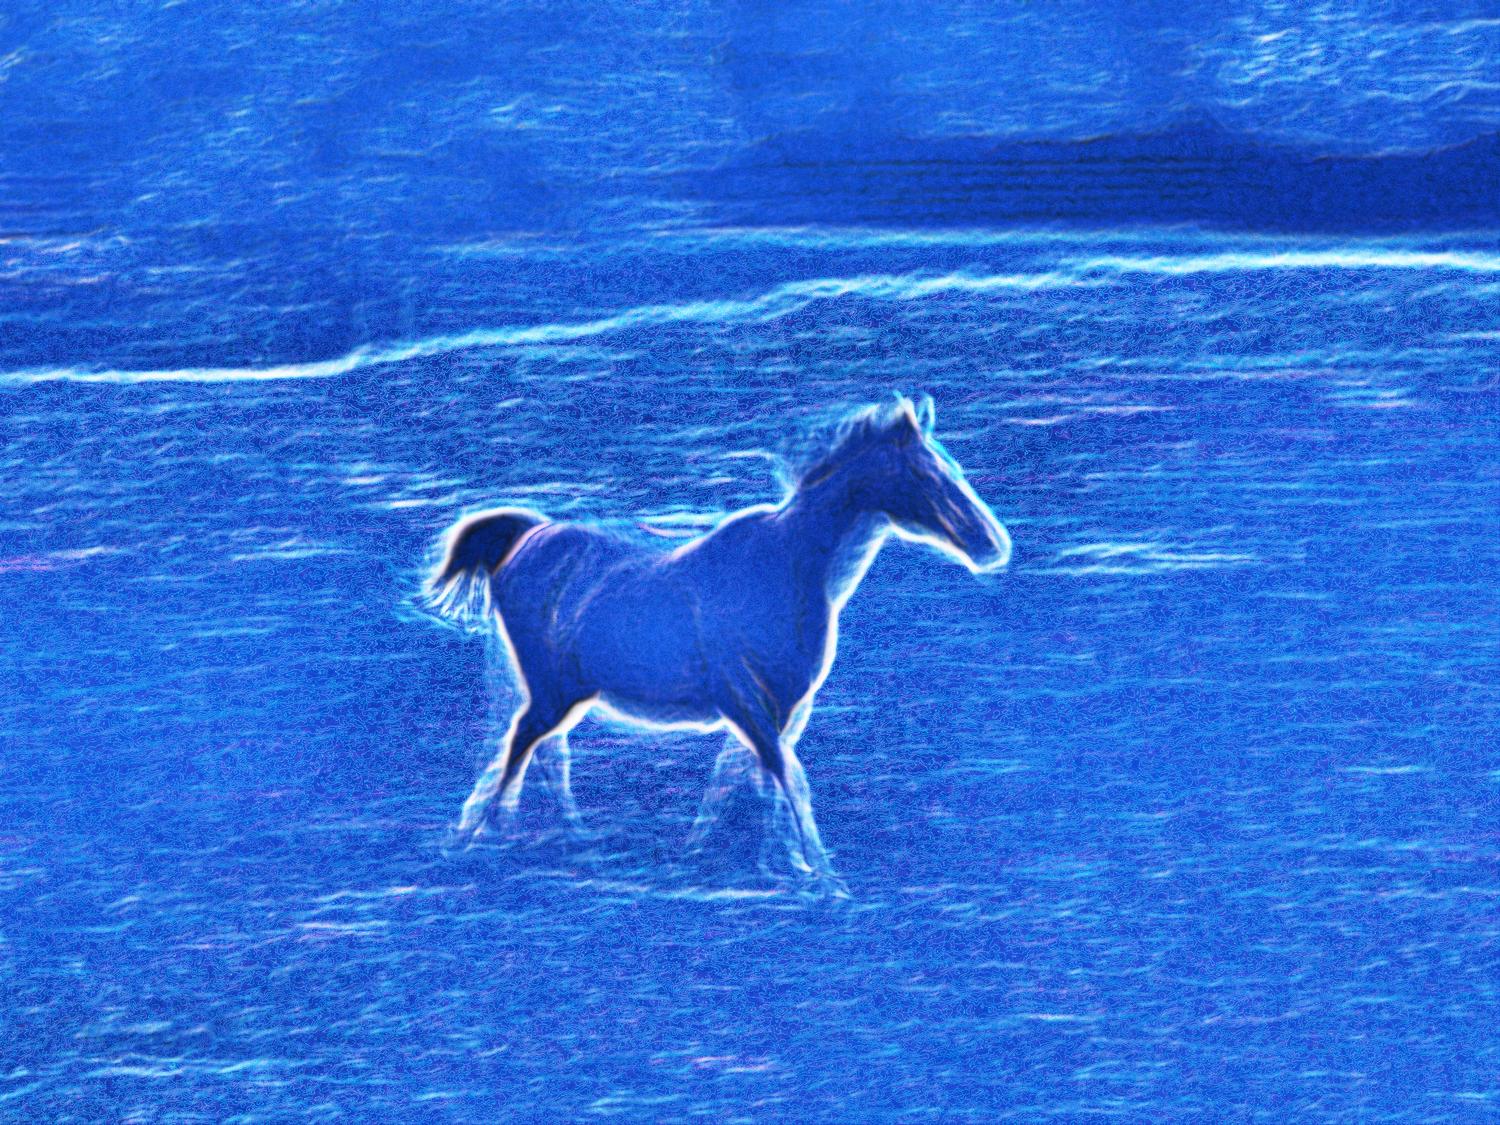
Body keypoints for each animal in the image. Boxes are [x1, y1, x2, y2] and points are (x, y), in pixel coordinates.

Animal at [424, 393, 1011, 895]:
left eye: (954, 468)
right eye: (924, 473)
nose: (991, 545)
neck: (790, 567)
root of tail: (524, 538)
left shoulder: (785, 707)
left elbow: (748, 778)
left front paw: (764, 864)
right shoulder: (745, 700)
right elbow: (785, 779)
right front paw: (825, 880)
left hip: (564, 695)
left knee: (543, 753)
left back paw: (567, 841)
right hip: (552, 692)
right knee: (522, 747)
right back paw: (481, 840)